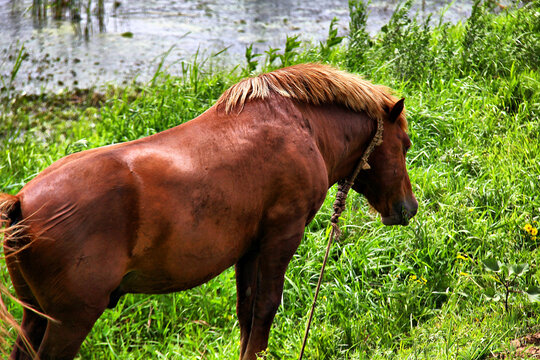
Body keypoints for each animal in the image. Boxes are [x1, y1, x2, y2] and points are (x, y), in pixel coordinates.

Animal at [0, 63, 418, 358]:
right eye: (406, 143)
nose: (408, 208)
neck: (301, 126)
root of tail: (21, 201)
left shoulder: (250, 249)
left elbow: (247, 313)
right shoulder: (282, 236)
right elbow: (265, 309)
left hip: (35, 315)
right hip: (70, 320)